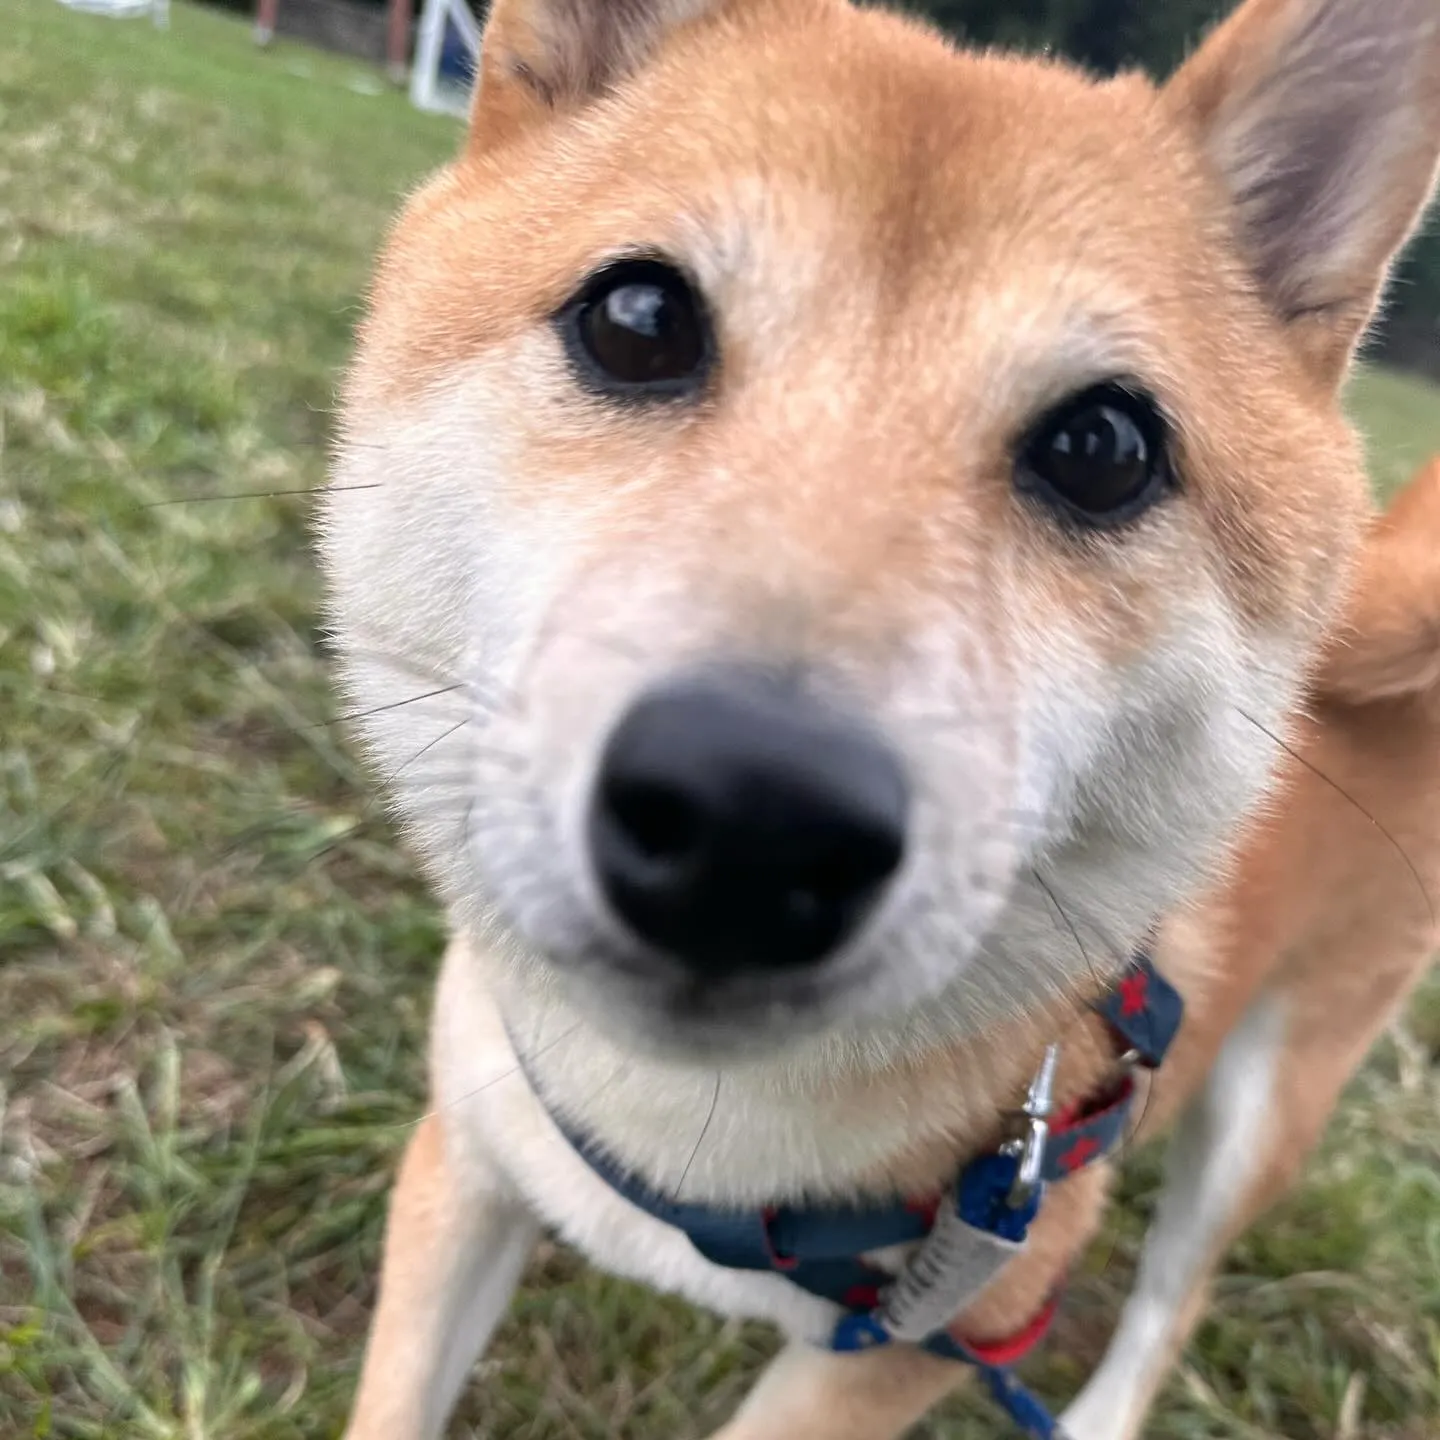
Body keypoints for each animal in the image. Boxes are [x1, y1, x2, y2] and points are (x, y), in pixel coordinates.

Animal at [318, 0, 1440, 1434]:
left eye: (1105, 449)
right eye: (637, 318)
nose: (750, 819)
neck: (687, 1139)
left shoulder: (939, 1329)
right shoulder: (465, 1159)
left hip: (1267, 1108)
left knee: (1172, 1297)